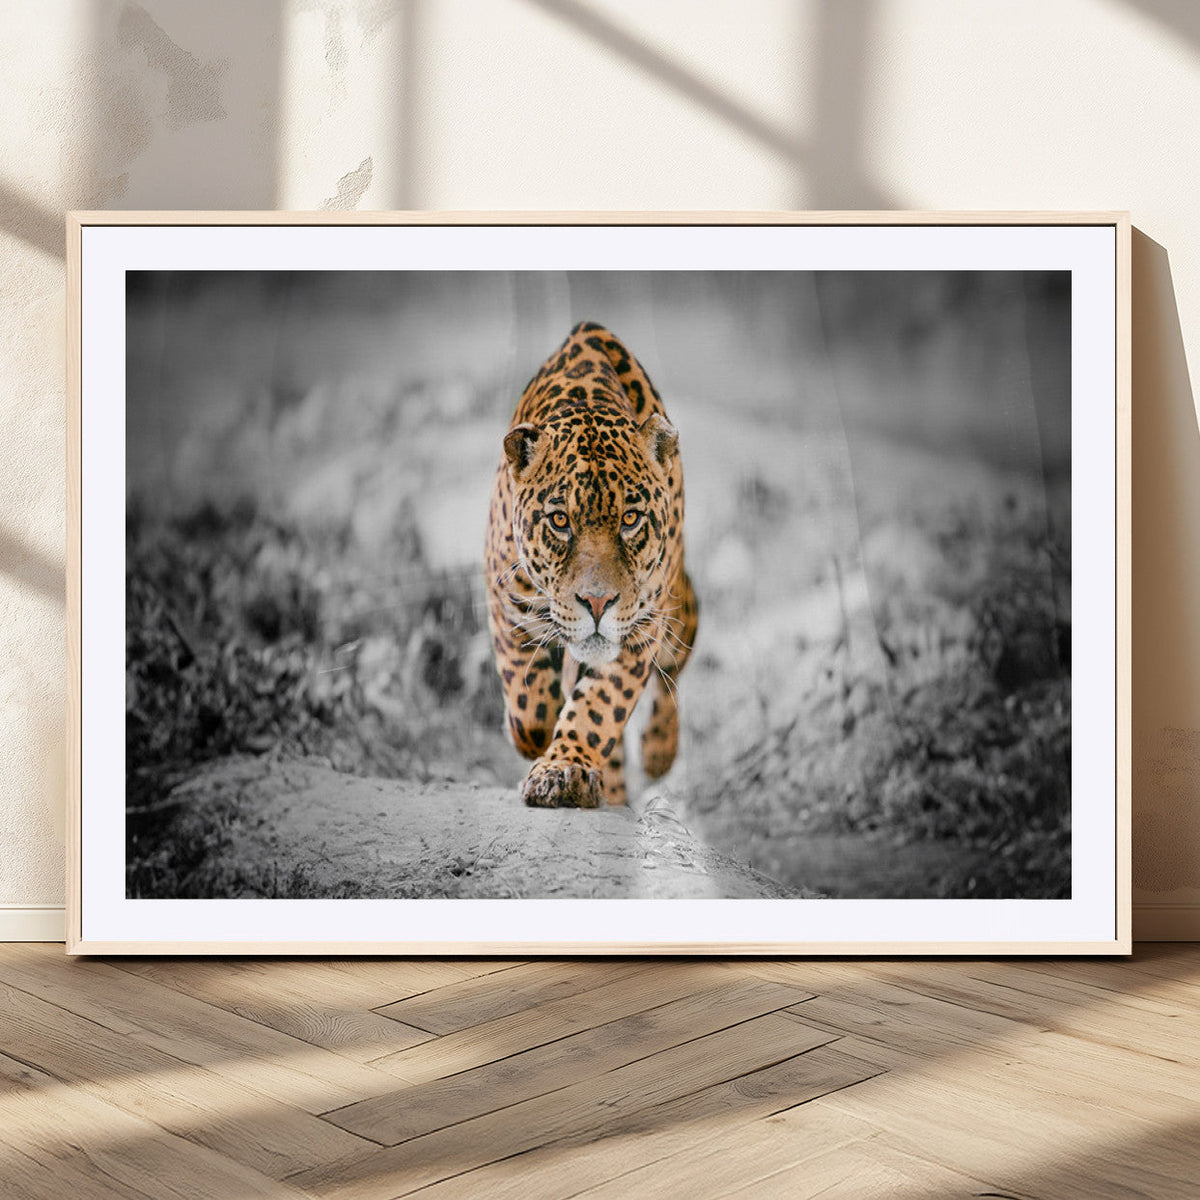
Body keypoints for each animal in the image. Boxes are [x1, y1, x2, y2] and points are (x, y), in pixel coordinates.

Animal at [484, 321, 699, 808]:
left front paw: (563, 770)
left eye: (631, 519)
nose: (597, 603)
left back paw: (658, 752)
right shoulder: (505, 600)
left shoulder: (641, 628)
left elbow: (599, 707)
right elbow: (529, 704)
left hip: (678, 609)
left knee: (674, 669)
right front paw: (536, 738)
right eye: (560, 521)